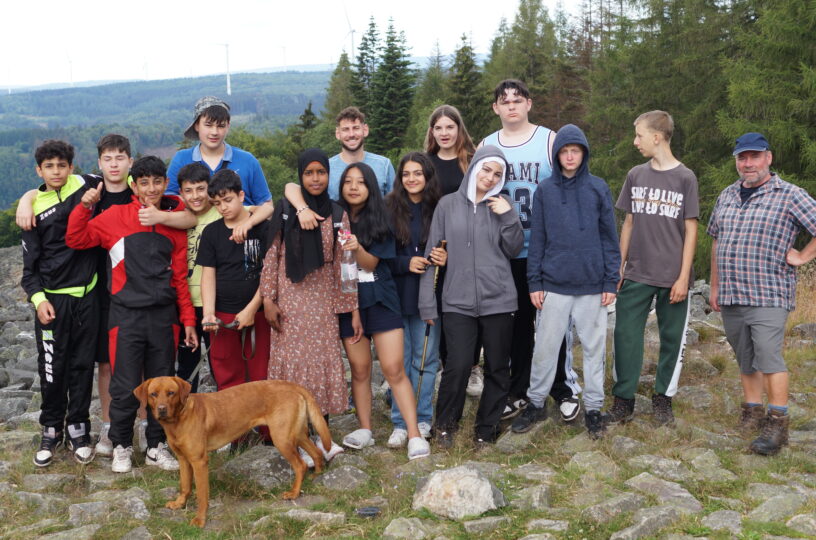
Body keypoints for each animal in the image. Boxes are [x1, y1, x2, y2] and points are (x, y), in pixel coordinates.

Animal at [134, 376, 332, 528]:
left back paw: (294, 493)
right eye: (153, 394)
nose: (161, 409)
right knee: (317, 453)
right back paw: (318, 475)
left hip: (282, 438)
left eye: (171, 393)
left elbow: (201, 495)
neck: (179, 419)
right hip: (296, 434)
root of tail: (291, 384)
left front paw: (200, 520)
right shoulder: (183, 459)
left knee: (301, 464)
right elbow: (185, 486)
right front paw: (179, 503)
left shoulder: (199, 461)